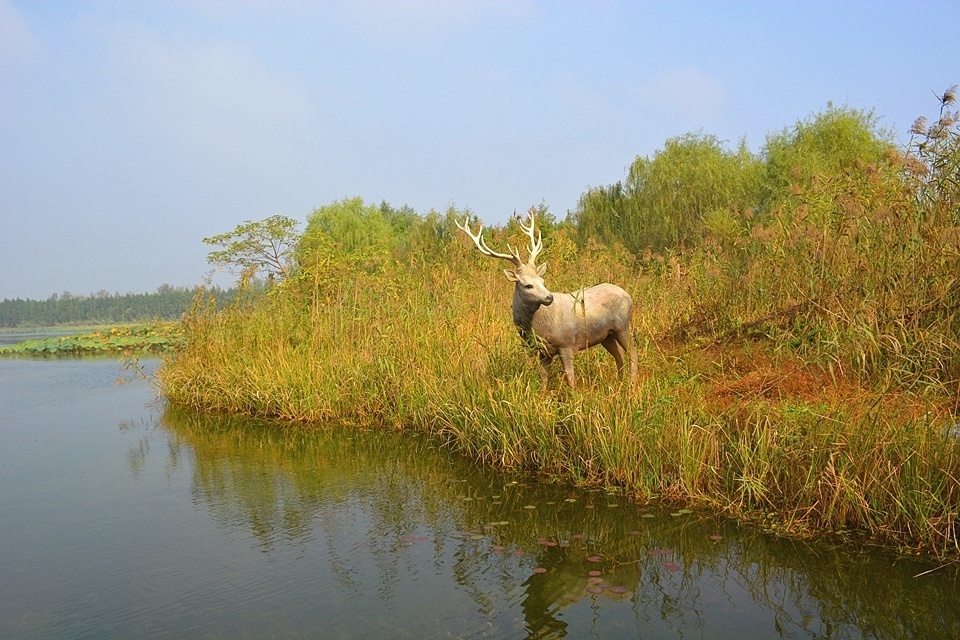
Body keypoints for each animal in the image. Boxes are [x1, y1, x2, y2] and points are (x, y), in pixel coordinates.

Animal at [458, 210, 636, 388]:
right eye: (528, 285)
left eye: (542, 280)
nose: (549, 297)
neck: (538, 327)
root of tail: (628, 295)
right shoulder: (543, 350)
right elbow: (543, 377)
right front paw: (543, 393)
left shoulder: (566, 343)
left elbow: (570, 377)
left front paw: (574, 394)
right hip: (606, 335)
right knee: (619, 356)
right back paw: (620, 383)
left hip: (622, 326)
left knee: (632, 352)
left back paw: (631, 384)